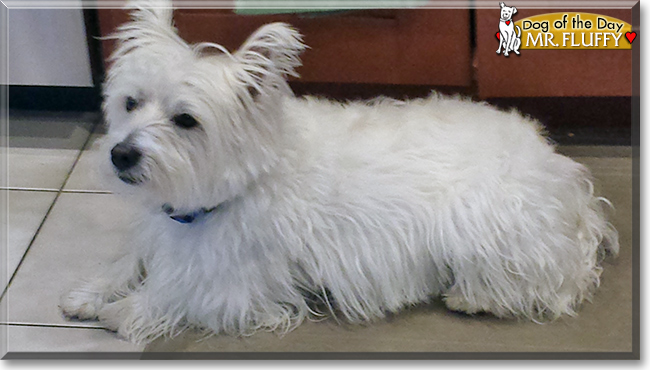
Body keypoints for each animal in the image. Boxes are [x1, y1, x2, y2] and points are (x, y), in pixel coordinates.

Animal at [62, 2, 616, 344]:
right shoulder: (167, 234)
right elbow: (131, 258)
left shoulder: (238, 283)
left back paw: (472, 298)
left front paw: (125, 311)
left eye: (185, 120)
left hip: (482, 223)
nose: (121, 155)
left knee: (547, 284)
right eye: (130, 102)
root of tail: (568, 181)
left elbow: (176, 292)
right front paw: (91, 292)